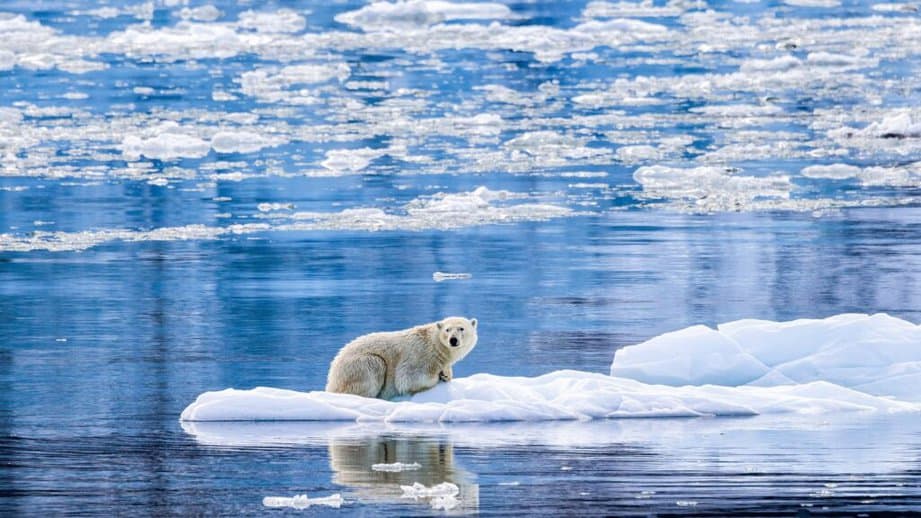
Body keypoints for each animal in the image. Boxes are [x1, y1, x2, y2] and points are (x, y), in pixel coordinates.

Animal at [328, 316, 478, 402]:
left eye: (461, 328)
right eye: (447, 330)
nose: (453, 340)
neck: (434, 345)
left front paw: (446, 374)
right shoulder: (419, 355)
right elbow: (408, 379)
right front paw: (438, 376)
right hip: (358, 366)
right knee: (374, 366)